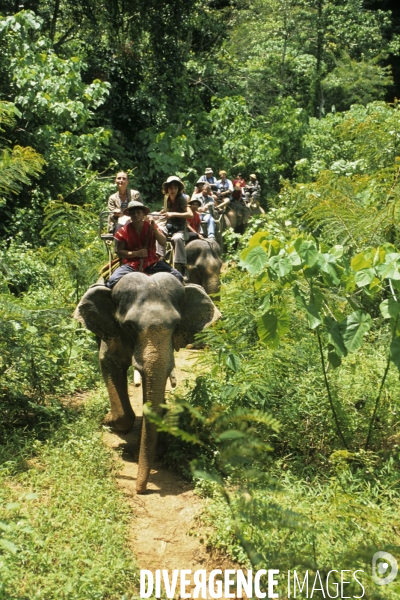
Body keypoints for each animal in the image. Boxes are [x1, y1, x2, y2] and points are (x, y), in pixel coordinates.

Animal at [73, 274, 220, 494]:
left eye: (176, 324)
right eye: (129, 326)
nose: (140, 489)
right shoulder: (112, 332)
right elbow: (108, 363)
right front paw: (109, 421)